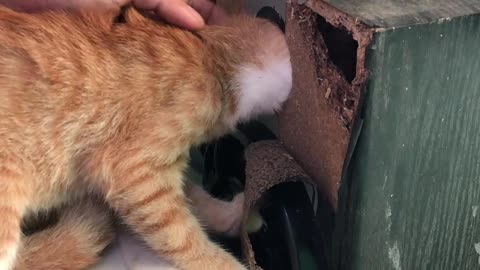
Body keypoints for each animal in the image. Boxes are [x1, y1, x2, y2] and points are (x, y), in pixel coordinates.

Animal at [0, 4, 292, 270]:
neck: (211, 58)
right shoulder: (136, 173)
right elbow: (185, 239)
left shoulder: (164, 170)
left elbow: (199, 203)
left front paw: (237, 215)